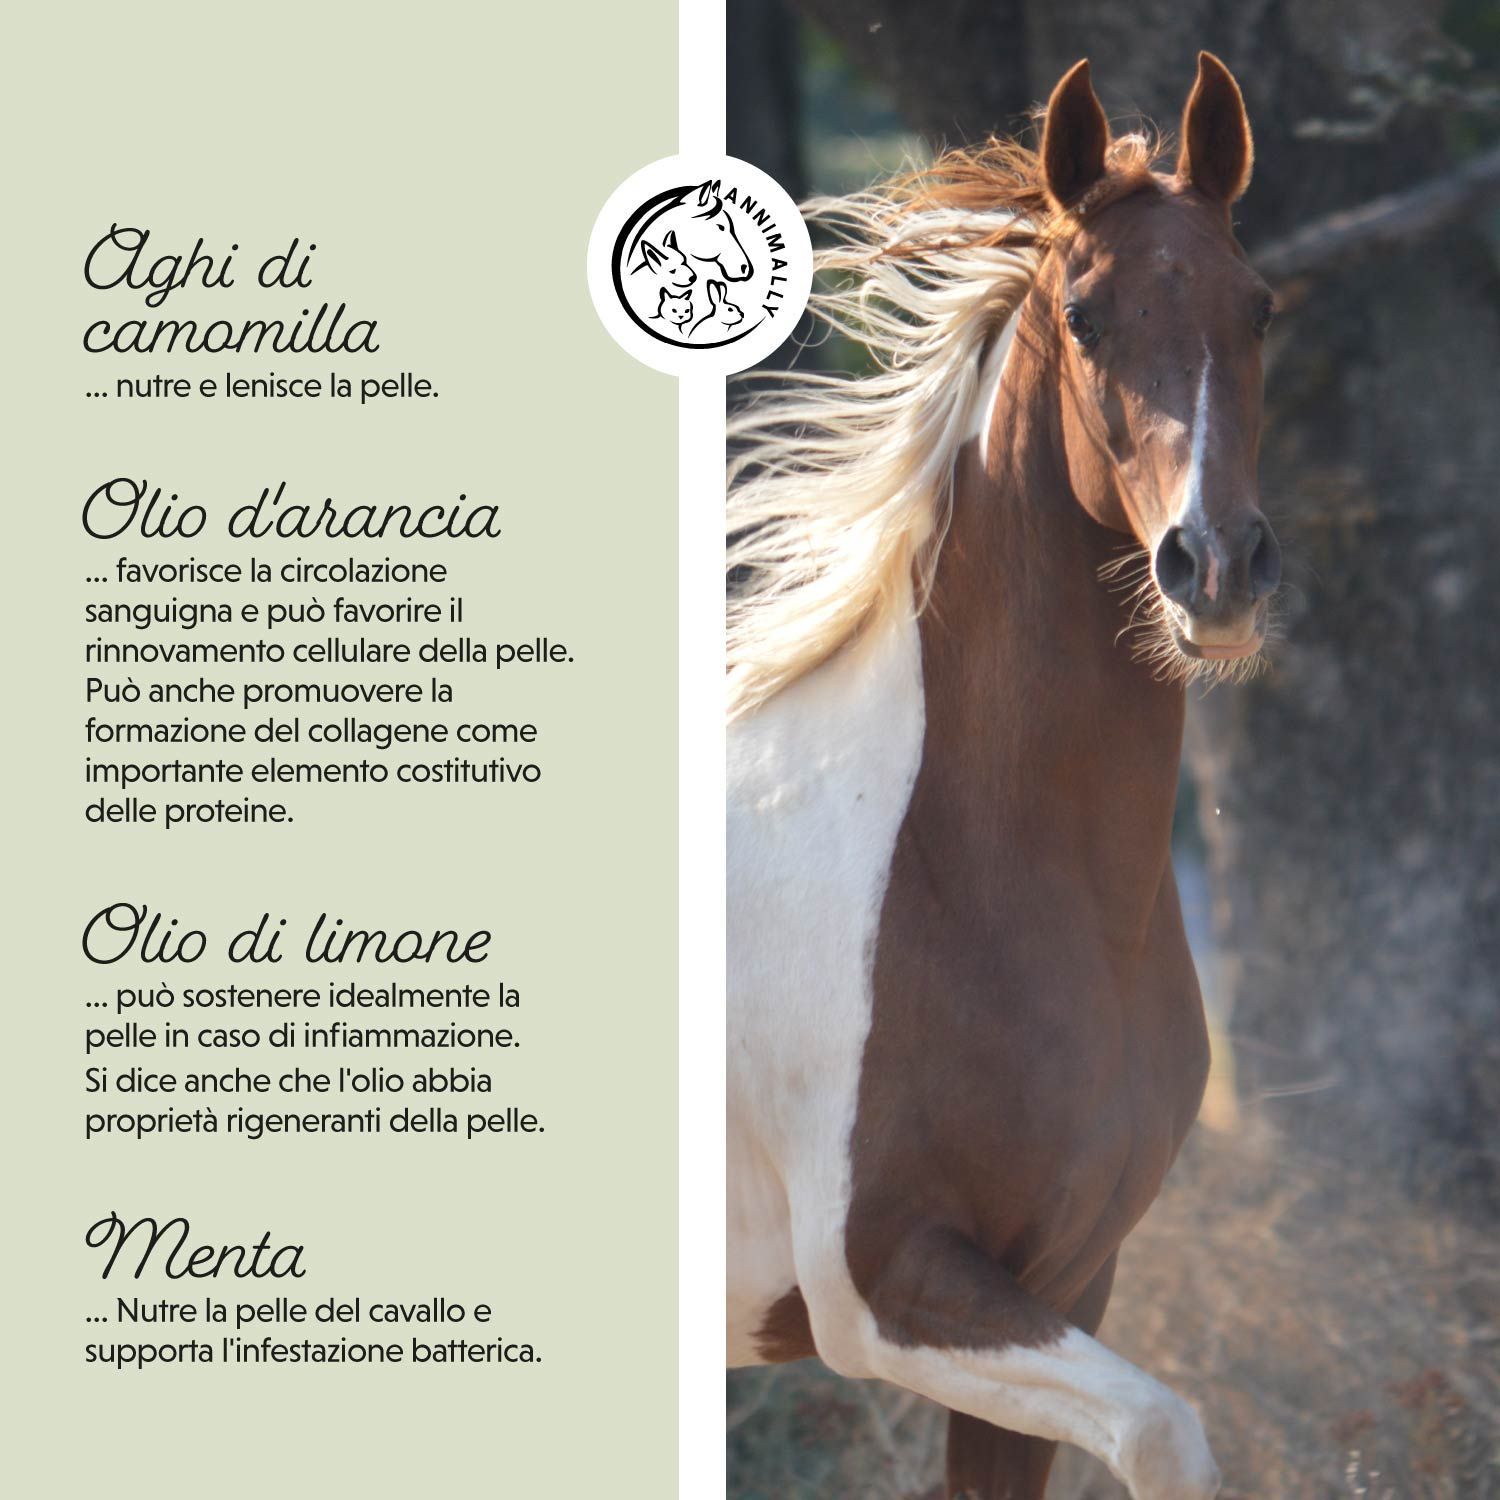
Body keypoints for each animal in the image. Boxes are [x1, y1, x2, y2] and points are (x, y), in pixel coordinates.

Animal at [727, 53, 1279, 1500]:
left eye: (1259, 308)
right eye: (1083, 316)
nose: (1218, 569)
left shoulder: (1068, 1278)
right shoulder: (888, 1289)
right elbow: (1166, 1431)